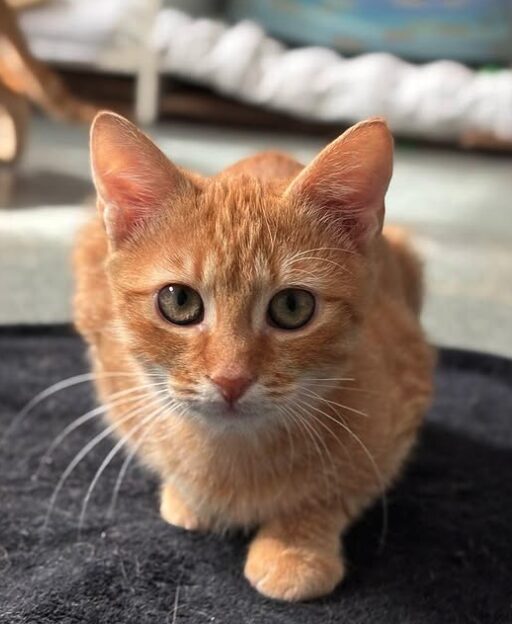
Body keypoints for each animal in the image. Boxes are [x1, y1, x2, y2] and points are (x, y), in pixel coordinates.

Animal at [75, 111, 436, 600]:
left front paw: (295, 546)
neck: (232, 453)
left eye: (292, 307)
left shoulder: (407, 389)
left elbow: (337, 492)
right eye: (178, 301)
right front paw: (186, 496)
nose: (231, 379)